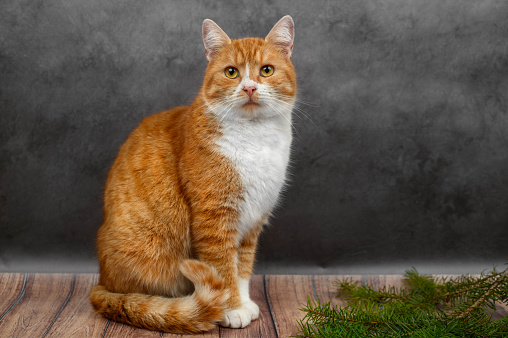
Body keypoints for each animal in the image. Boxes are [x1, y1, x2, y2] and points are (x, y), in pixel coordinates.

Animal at [89, 15, 296, 332]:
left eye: (267, 70)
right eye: (232, 72)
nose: (249, 88)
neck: (255, 138)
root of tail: (102, 282)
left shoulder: (252, 222)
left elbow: (242, 268)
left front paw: (244, 302)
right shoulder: (214, 219)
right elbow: (223, 268)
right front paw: (231, 308)